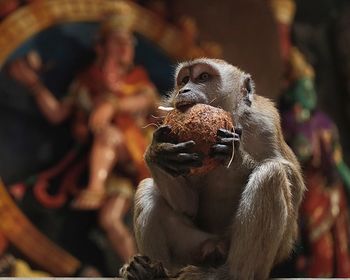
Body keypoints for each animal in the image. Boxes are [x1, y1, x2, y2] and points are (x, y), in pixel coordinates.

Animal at [119, 58, 304, 278]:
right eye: (184, 80)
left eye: (203, 77)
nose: (184, 90)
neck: (233, 117)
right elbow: (187, 205)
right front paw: (157, 152)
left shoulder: (265, 122)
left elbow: (292, 180)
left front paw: (237, 156)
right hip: (192, 247)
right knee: (148, 188)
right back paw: (152, 270)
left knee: (271, 175)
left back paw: (230, 274)